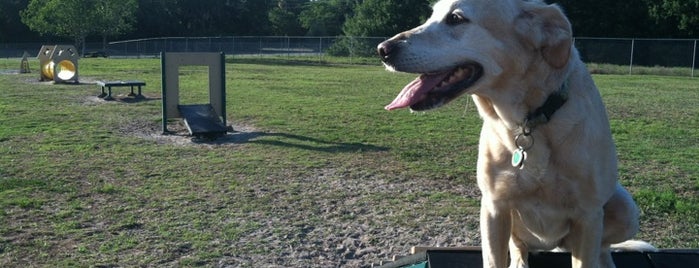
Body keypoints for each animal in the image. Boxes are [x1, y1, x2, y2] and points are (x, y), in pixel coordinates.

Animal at [378, 0, 656, 268]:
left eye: (456, 18)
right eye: (431, 15)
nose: (383, 49)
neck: (527, 121)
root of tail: (554, 245)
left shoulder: (588, 216)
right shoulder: (494, 207)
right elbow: (494, 259)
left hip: (625, 208)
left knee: (603, 247)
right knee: (518, 246)